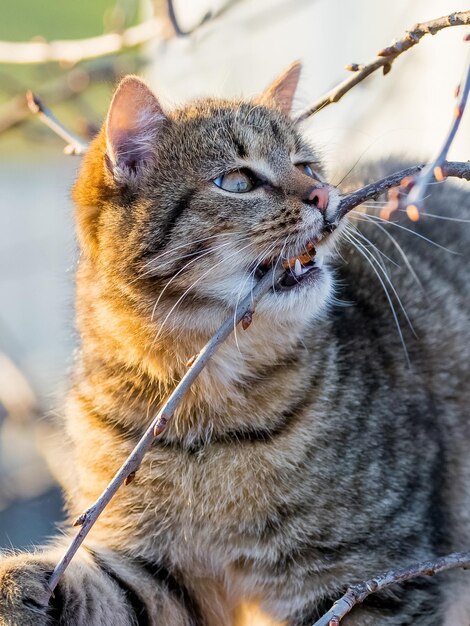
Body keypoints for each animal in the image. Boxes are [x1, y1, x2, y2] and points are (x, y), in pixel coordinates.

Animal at [0, 59, 470, 624]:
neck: (201, 407)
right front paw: (15, 587)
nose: (324, 195)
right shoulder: (158, 573)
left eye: (307, 166)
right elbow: (98, 590)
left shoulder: (368, 579)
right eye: (238, 181)